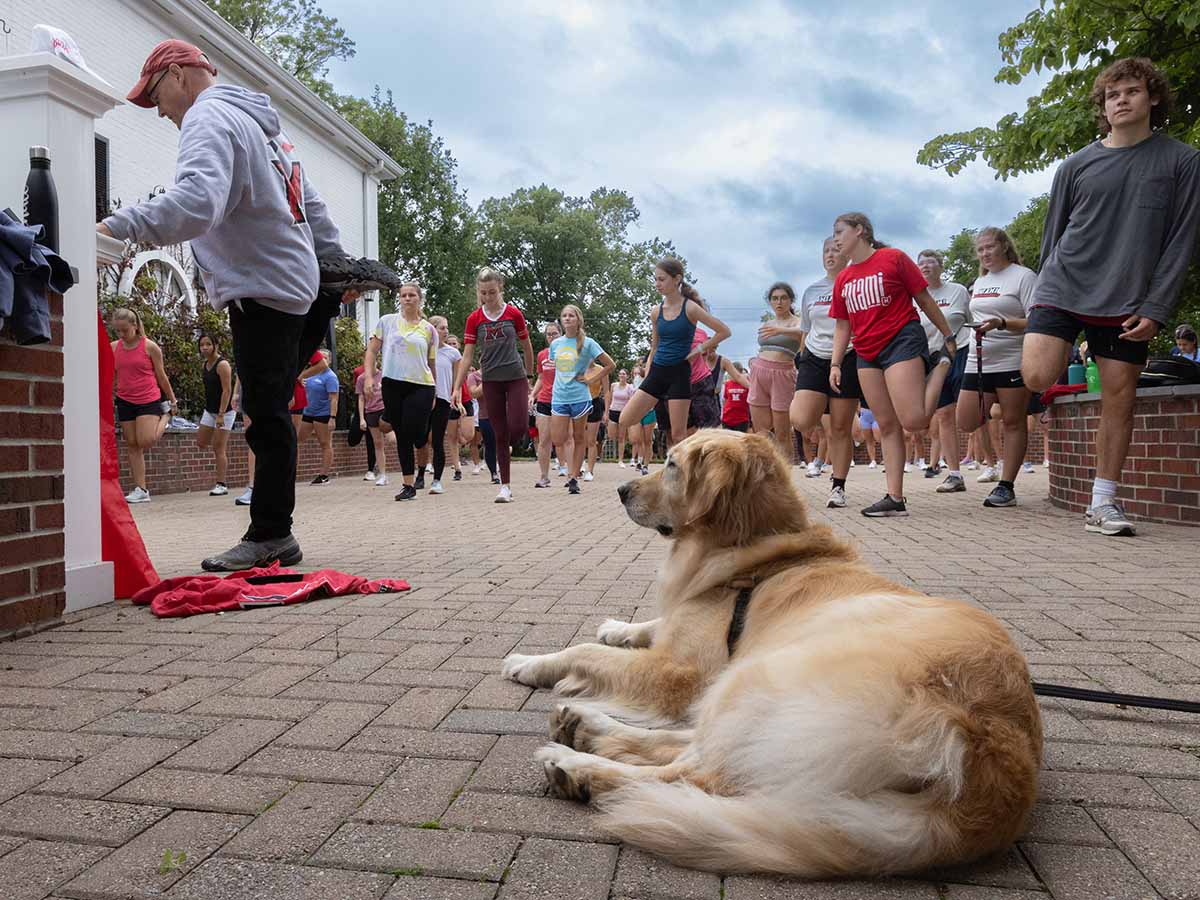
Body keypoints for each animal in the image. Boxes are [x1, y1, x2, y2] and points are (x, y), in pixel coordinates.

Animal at [496, 429, 1041, 883]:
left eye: (670, 464)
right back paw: (584, 727)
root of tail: (990, 788)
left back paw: (576, 765)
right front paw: (617, 626)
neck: (756, 552)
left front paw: (530, 662)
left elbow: (587, 651)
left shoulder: (684, 672)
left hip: (763, 672)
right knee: (697, 747)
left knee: (699, 771)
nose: (622, 490)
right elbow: (648, 627)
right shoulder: (686, 631)